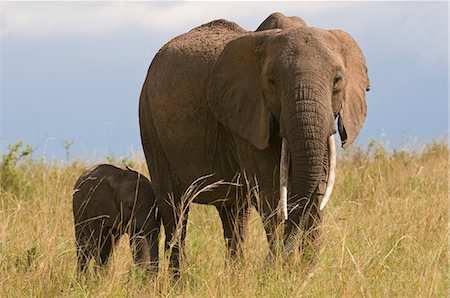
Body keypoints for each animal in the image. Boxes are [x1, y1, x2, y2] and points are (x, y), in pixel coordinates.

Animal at [140, 12, 370, 272]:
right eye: (271, 82)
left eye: (338, 80)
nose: (265, 265)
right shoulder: (248, 117)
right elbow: (271, 192)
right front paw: (281, 274)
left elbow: (317, 191)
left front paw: (305, 274)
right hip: (149, 122)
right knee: (174, 209)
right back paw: (179, 280)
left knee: (234, 214)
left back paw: (235, 275)